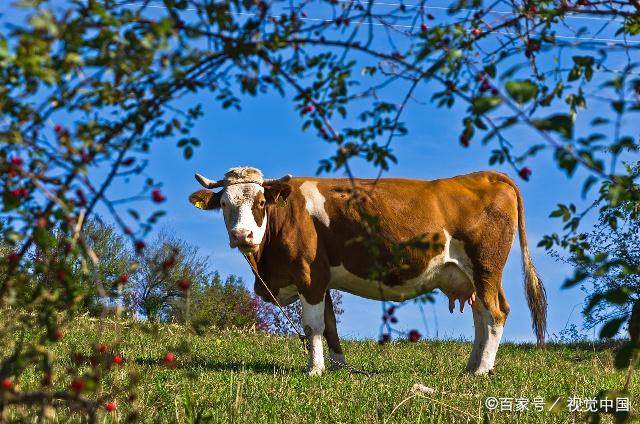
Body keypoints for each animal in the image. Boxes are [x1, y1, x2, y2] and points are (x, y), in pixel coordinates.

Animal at [188, 166, 548, 374]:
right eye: (224, 204)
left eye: (261, 203)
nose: (242, 236)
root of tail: (484, 175)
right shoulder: (321, 278)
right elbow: (330, 325)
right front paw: (338, 368)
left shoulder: (308, 275)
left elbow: (313, 326)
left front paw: (314, 370)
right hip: (471, 275)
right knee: (481, 316)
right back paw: (470, 367)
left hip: (486, 267)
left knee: (495, 314)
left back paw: (481, 370)